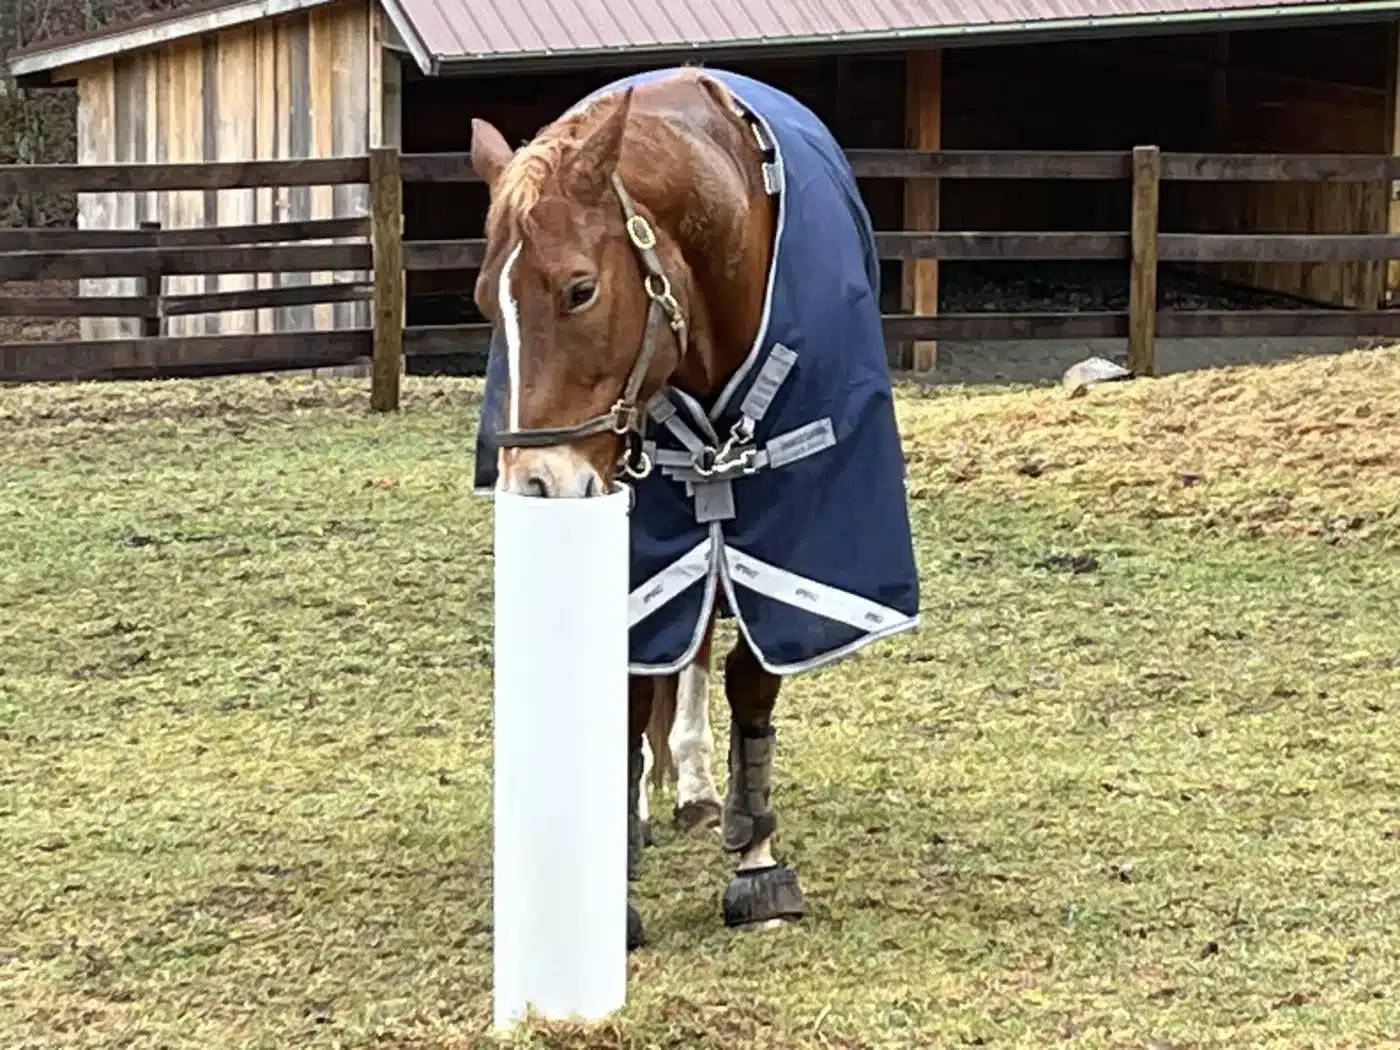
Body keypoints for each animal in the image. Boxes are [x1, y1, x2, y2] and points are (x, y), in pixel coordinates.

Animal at [470, 67, 921, 949]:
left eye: (579, 290)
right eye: (483, 301)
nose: (537, 487)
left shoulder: (798, 515)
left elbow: (752, 672)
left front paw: (757, 858)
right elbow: (630, 680)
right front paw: (615, 870)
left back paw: (697, 785)